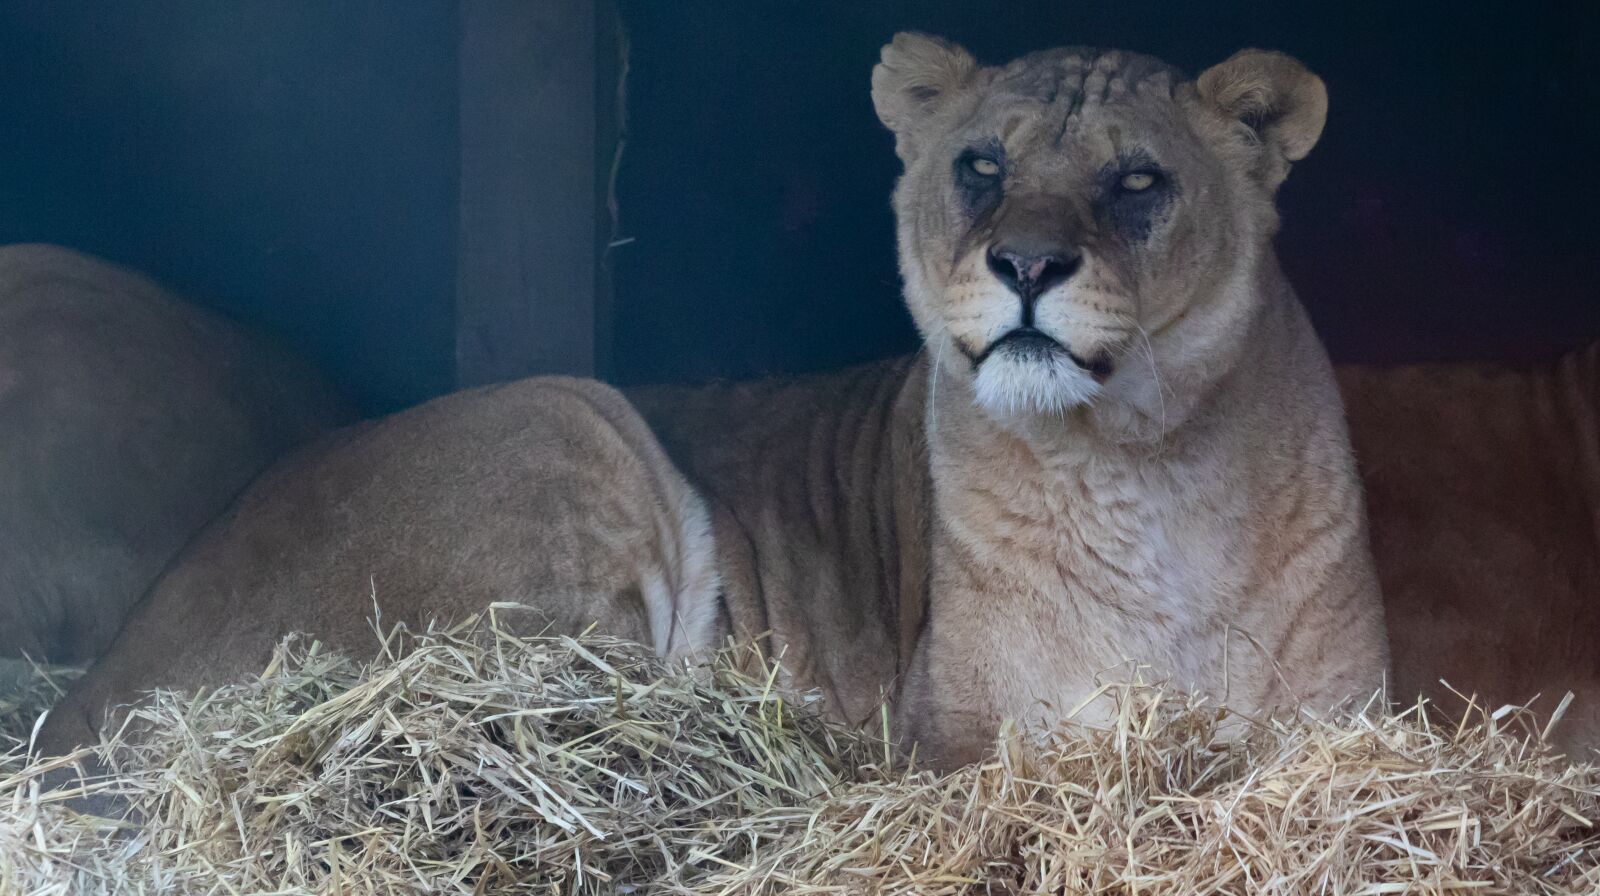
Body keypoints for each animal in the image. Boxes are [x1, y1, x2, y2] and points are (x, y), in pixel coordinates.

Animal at [39, 37, 1388, 768]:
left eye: (1137, 181)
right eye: (980, 166)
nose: (1025, 265)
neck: (1143, 462)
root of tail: (77, 705)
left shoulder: (1342, 714)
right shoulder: (952, 729)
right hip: (571, 418)